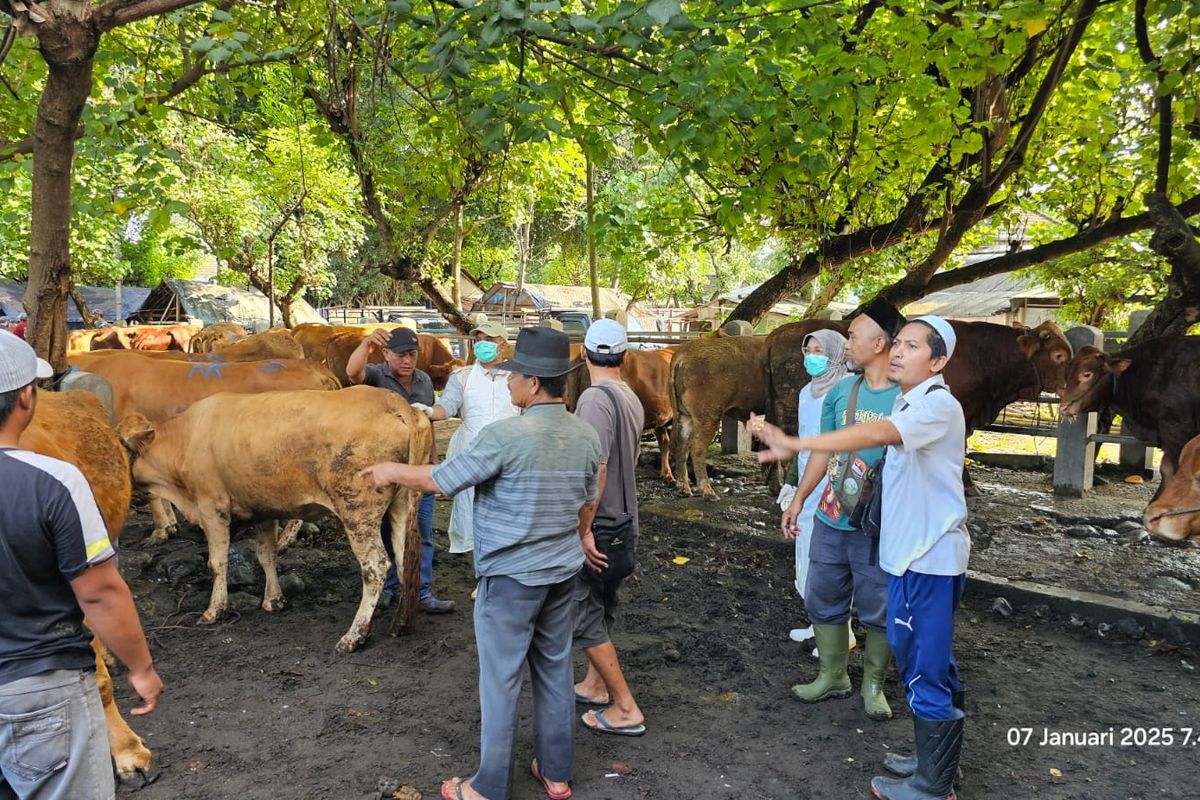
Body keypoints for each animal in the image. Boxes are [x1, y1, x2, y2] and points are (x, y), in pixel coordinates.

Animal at [115, 383, 432, 652]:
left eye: (119, 444)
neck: (185, 438)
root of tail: (387, 399)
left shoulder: (212, 507)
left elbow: (217, 563)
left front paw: (214, 610)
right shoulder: (263, 510)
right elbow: (266, 554)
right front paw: (273, 599)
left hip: (357, 511)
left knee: (375, 566)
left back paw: (354, 635)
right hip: (402, 505)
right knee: (404, 561)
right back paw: (401, 624)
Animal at [667, 333, 768, 496]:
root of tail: (685, 351)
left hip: (685, 416)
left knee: (681, 447)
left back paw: (684, 489)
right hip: (709, 418)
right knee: (697, 448)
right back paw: (708, 492)